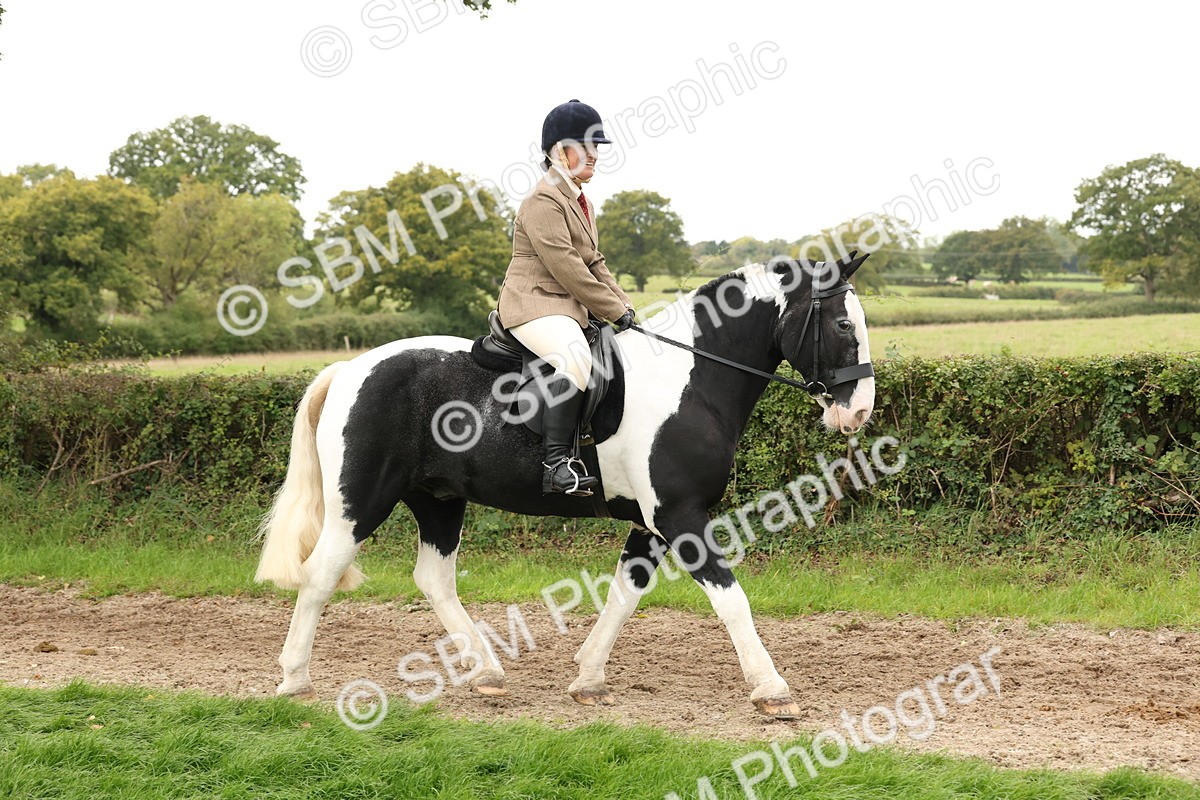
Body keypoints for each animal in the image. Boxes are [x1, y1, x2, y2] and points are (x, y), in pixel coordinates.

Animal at [254, 253, 875, 719]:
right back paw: (293, 681)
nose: (860, 412)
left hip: (439, 500)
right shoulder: (680, 516)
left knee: (433, 579)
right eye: (844, 325)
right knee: (320, 575)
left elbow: (625, 596)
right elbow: (732, 599)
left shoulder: (651, 524)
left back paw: (488, 672)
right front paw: (772, 690)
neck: (689, 379)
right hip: (360, 503)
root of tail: (351, 369)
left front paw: (588, 678)